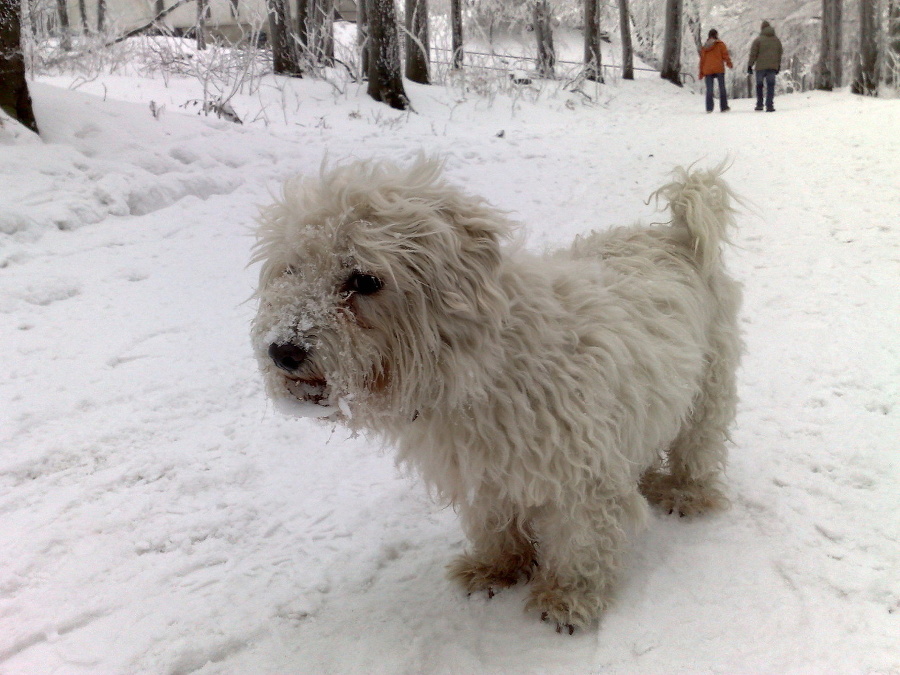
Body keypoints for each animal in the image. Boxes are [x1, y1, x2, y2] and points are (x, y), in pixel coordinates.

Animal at [250, 157, 740, 632]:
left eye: (366, 280)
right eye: (292, 268)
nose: (283, 351)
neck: (479, 368)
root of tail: (675, 235)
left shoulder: (582, 476)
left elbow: (580, 540)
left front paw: (568, 598)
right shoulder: (483, 471)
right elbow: (494, 524)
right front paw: (496, 568)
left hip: (709, 388)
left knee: (698, 447)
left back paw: (686, 494)